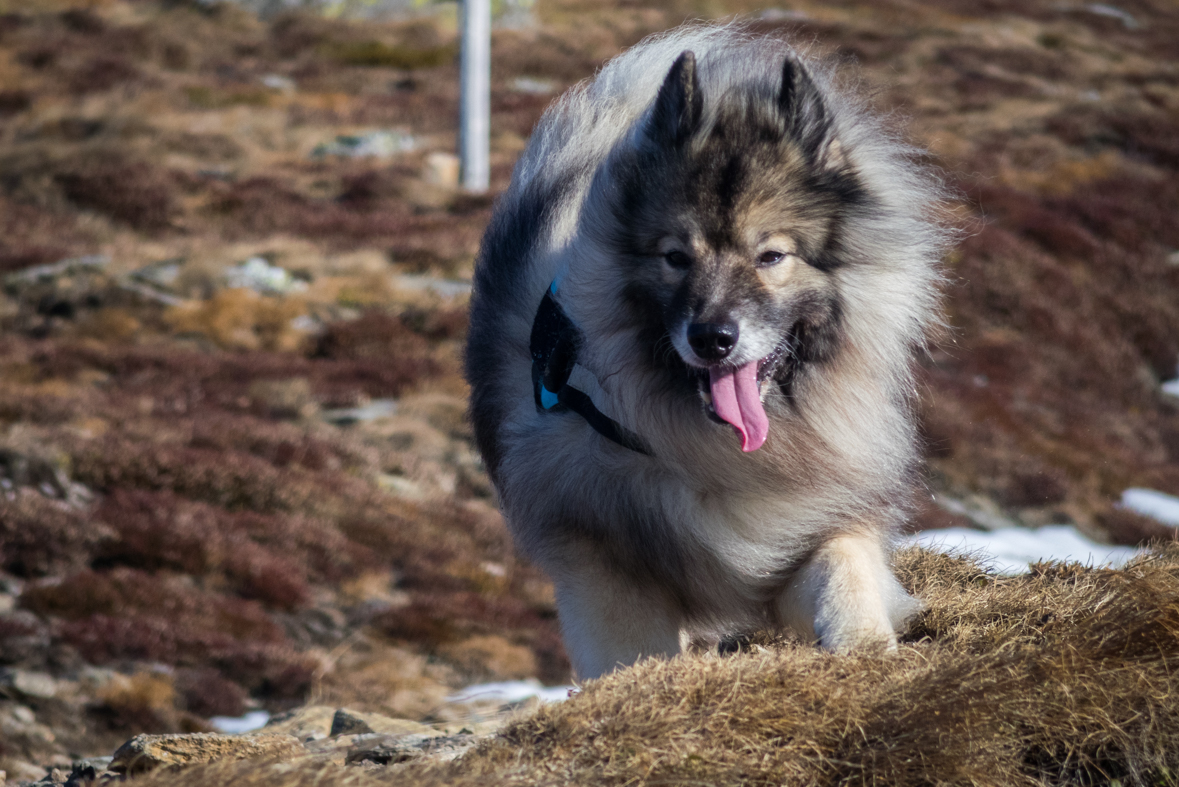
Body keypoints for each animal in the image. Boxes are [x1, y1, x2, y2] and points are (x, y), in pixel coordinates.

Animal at [459, 23, 947, 678]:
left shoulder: (812, 517)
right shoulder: (605, 564)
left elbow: (844, 570)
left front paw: (866, 648)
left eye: (772, 256)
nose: (713, 339)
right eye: (675, 257)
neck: (719, 455)